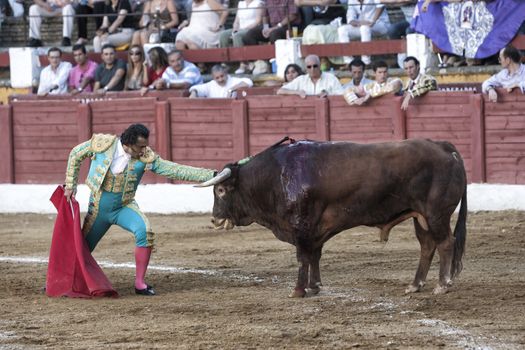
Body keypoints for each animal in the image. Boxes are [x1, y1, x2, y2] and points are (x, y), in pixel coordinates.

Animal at [198, 138, 466, 296]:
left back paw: (442, 285)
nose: (215, 219)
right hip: (420, 217)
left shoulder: (301, 226)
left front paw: (298, 291)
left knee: (446, 243)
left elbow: (302, 258)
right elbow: (314, 256)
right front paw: (314, 287)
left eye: (220, 190)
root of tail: (443, 146)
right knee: (427, 245)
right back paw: (415, 285)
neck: (277, 176)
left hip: (436, 213)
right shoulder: (315, 230)